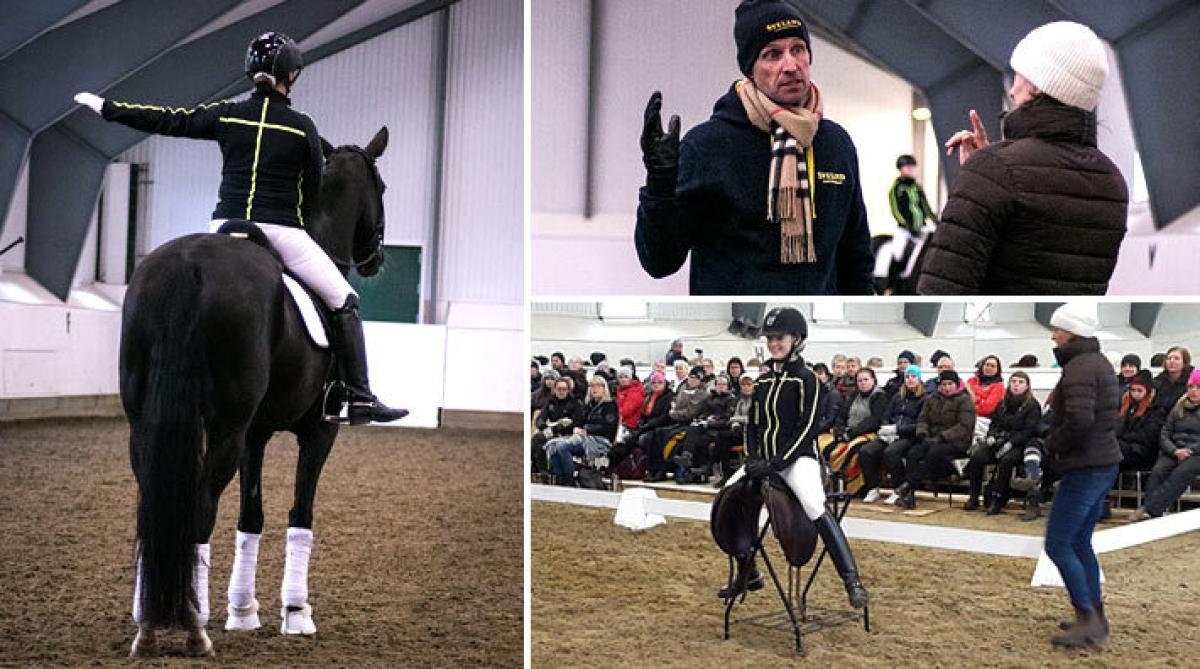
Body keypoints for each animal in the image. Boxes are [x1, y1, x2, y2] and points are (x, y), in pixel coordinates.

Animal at [120, 128, 388, 657]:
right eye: (382, 187)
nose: (377, 258)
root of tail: (189, 264)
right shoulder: (318, 431)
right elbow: (299, 513)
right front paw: (297, 613)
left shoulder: (254, 434)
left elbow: (251, 516)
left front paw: (242, 612)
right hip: (224, 429)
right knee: (198, 510)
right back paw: (194, 629)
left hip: (146, 426)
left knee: (153, 510)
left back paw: (149, 625)